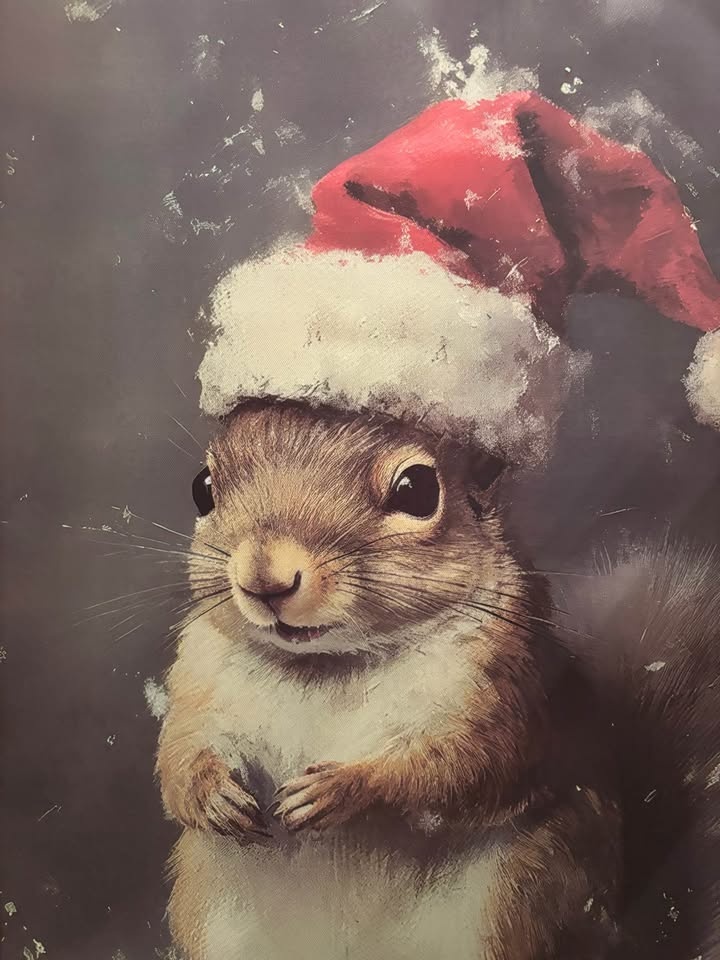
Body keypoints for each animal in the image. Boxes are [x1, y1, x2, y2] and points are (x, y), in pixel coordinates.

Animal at [156, 398, 720, 960]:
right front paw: (212, 795)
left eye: (417, 490)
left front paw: (342, 787)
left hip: (514, 905)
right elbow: (177, 755)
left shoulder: (506, 688)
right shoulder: (197, 680)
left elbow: (464, 766)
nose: (265, 580)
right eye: (202, 488)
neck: (327, 663)